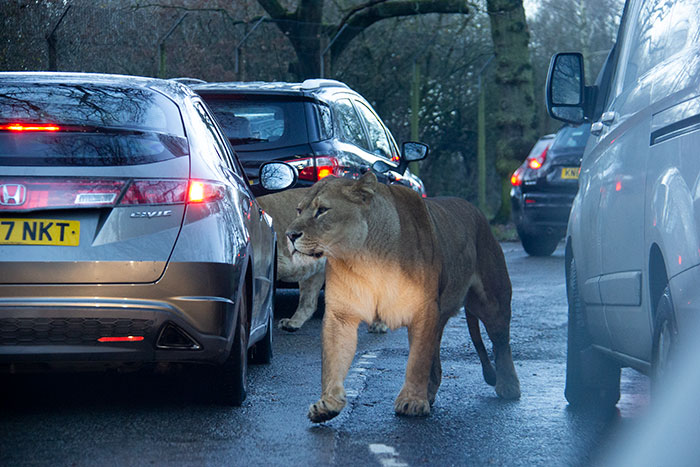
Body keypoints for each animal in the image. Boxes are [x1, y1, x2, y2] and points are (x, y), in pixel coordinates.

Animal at [285, 172, 521, 422]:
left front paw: (412, 402)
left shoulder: (423, 309)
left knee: (501, 341)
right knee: (437, 360)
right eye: (298, 210)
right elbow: (333, 360)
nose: (289, 235)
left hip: (492, 302)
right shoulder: (341, 314)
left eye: (322, 210)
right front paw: (327, 404)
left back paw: (509, 387)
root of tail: (476, 211)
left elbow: (417, 360)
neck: (364, 257)